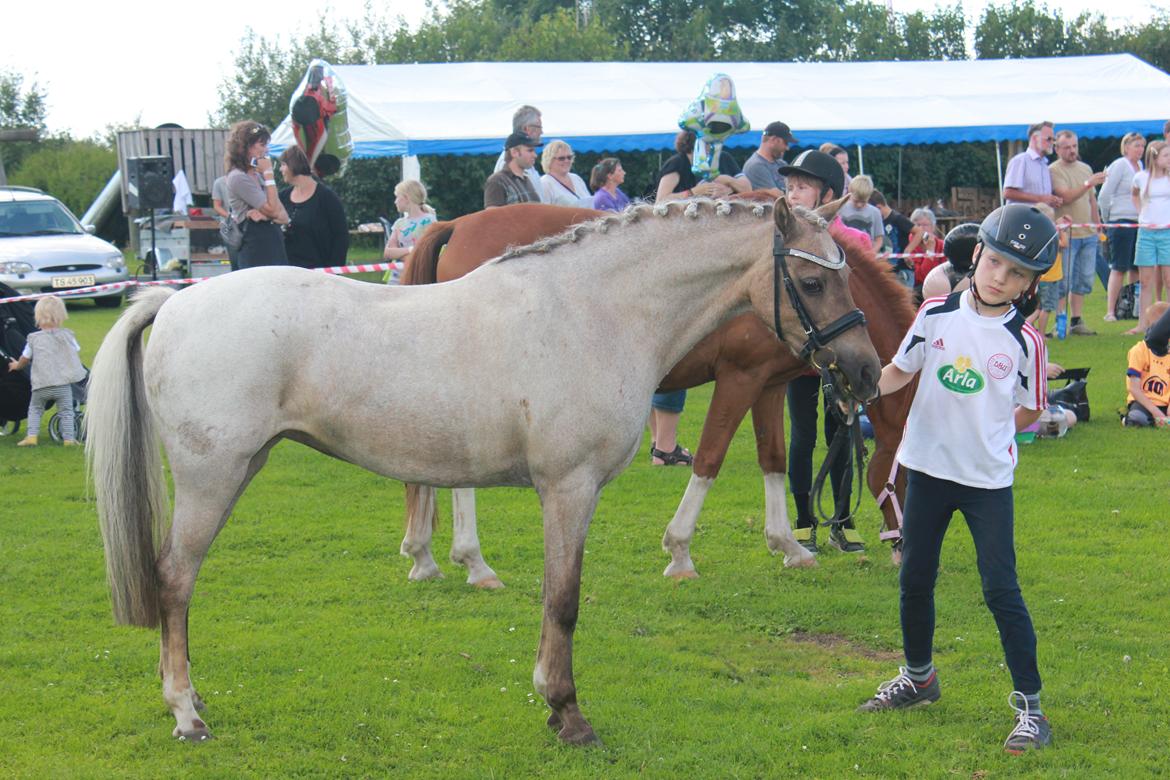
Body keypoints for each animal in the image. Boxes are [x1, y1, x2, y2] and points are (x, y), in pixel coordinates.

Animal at [398, 201, 916, 588]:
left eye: (843, 281)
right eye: (813, 283)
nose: (866, 369)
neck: (749, 286)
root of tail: (454, 224)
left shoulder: (768, 384)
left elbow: (774, 458)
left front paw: (788, 544)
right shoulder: (739, 378)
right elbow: (710, 457)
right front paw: (680, 551)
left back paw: (426, 555)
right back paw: (473, 560)